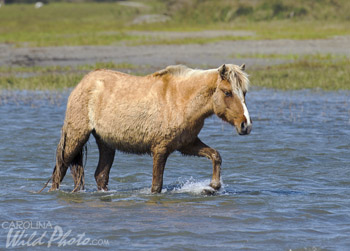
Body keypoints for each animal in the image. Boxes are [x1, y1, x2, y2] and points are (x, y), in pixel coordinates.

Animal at [46, 63, 252, 193]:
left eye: (244, 92)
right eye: (227, 92)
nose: (246, 125)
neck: (181, 100)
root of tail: (82, 83)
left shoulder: (186, 144)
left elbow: (215, 155)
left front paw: (213, 186)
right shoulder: (160, 149)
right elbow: (156, 185)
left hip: (105, 142)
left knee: (100, 176)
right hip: (76, 136)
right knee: (60, 170)